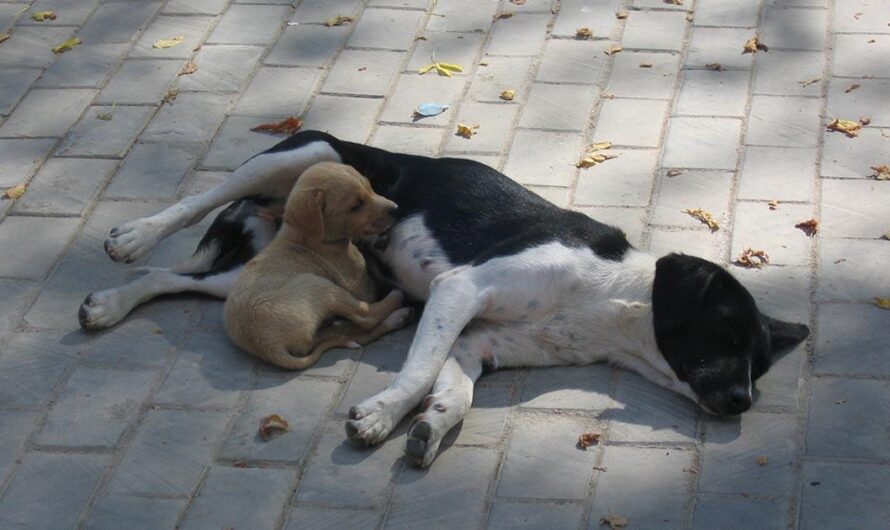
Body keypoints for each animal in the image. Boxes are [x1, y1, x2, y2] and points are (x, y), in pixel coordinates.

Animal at [227, 161, 412, 368]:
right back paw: (397, 306)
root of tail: (266, 347)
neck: (308, 239)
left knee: (343, 333)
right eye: (356, 206)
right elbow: (366, 302)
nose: (396, 209)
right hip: (318, 285)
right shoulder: (360, 286)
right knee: (364, 318)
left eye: (370, 188)